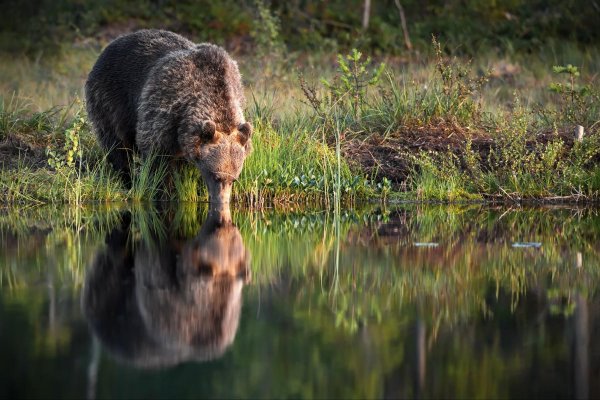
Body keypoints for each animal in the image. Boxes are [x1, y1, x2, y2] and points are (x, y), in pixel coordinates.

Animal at [84, 28, 251, 203]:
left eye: (234, 179)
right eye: (215, 176)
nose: (222, 201)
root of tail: (113, 43)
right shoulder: (165, 107)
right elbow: (157, 158)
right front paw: (162, 190)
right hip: (110, 98)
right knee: (117, 145)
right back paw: (126, 178)